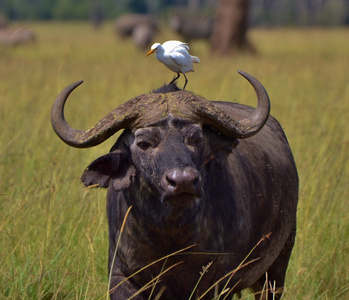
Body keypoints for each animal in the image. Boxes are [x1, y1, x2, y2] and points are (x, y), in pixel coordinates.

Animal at [51, 71, 296, 298]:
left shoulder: (219, 282)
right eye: (144, 143)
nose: (183, 181)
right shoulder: (120, 277)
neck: (169, 237)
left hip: (276, 269)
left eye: (196, 139)